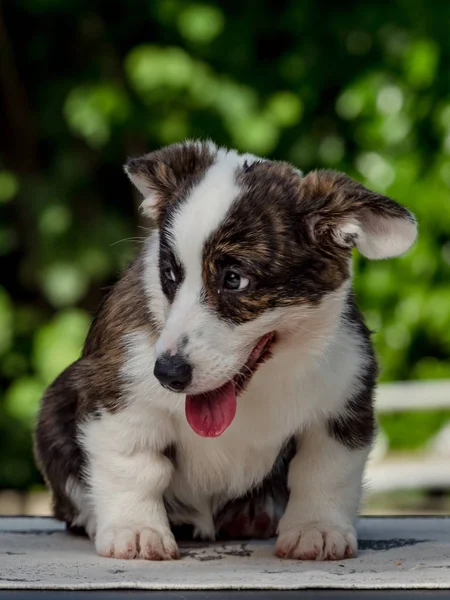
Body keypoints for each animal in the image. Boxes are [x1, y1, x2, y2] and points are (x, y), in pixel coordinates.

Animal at [33, 138, 416, 560]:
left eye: (234, 280)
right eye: (170, 275)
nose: (168, 373)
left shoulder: (341, 407)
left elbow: (323, 472)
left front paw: (316, 529)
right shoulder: (117, 397)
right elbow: (134, 467)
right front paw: (136, 530)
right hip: (53, 408)